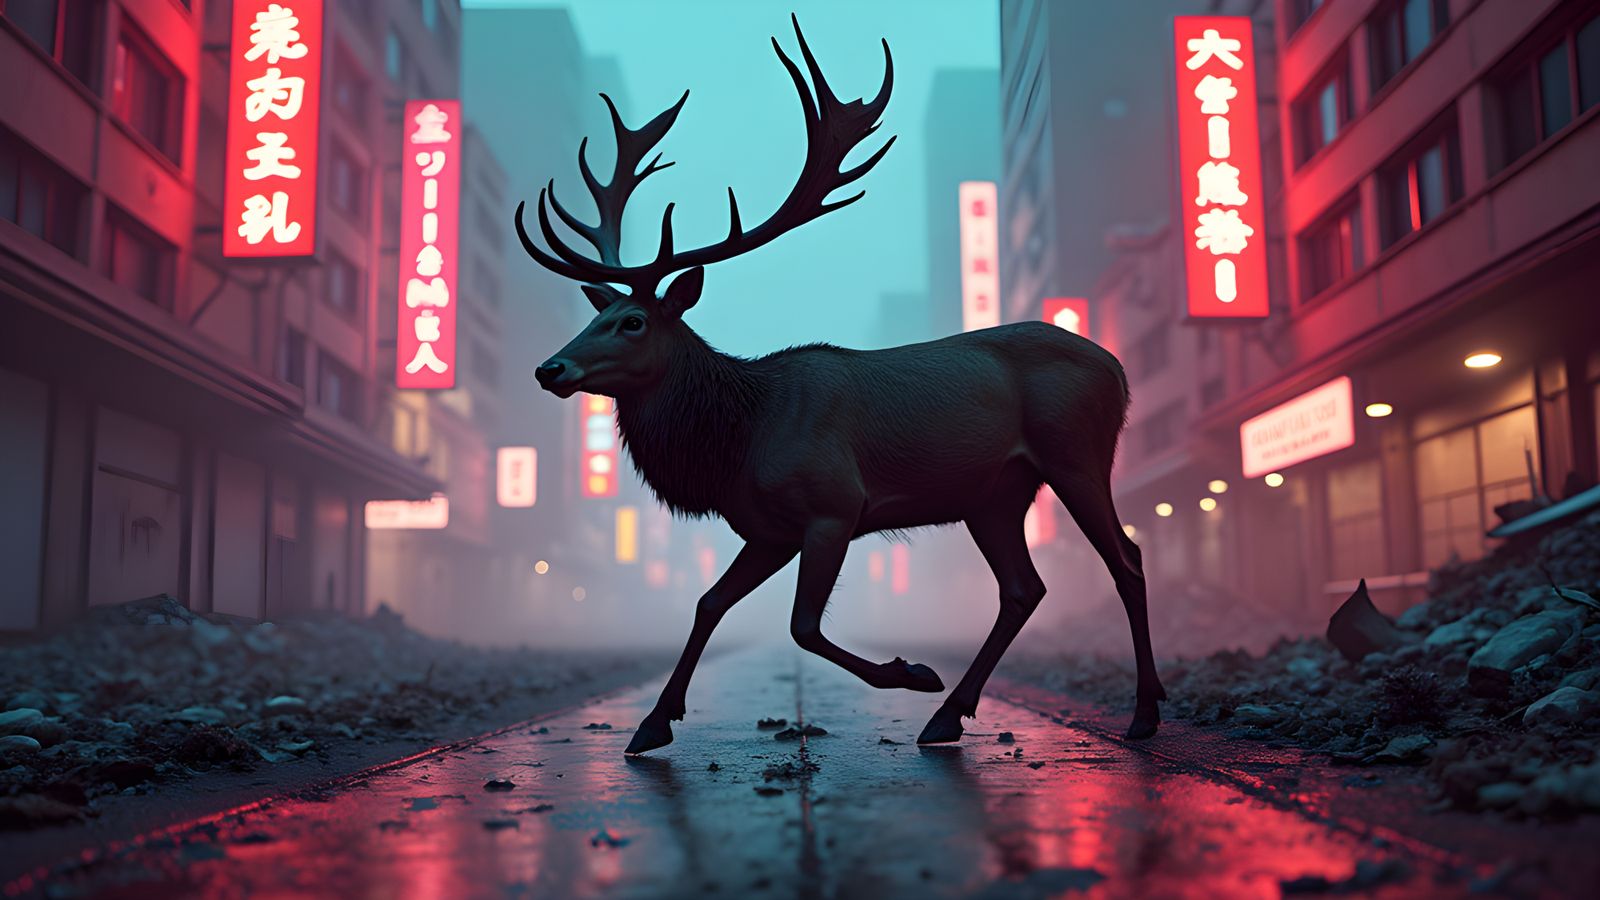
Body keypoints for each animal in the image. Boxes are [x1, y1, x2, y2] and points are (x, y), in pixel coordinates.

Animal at [515, 16, 1164, 755]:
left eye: (631, 321)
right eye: (595, 315)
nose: (550, 369)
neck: (737, 438)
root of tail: (1118, 370)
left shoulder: (834, 505)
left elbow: (802, 626)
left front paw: (912, 672)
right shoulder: (768, 529)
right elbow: (710, 602)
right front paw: (652, 723)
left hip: (1075, 454)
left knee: (1127, 559)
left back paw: (1141, 713)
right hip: (996, 491)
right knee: (1024, 587)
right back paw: (949, 717)